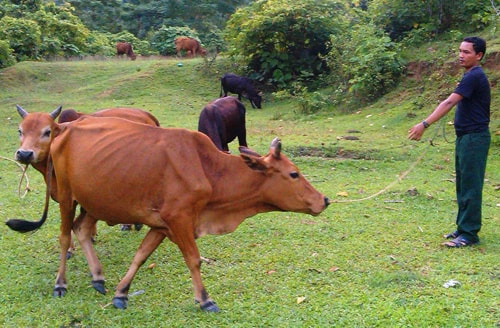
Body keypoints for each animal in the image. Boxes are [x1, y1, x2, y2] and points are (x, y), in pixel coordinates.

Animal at [6, 116, 332, 312]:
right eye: (293, 173)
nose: (324, 200)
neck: (208, 169)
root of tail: (63, 129)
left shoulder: (162, 225)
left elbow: (140, 256)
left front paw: (121, 293)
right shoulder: (180, 219)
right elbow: (194, 259)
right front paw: (205, 299)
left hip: (94, 201)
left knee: (82, 229)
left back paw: (98, 277)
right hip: (66, 197)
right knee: (64, 237)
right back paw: (60, 283)